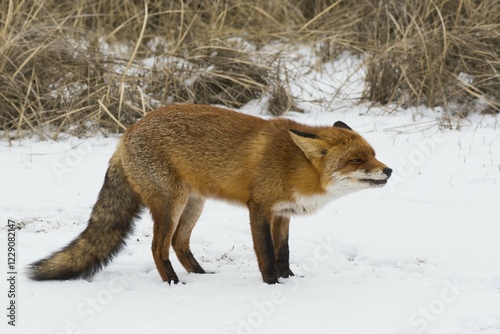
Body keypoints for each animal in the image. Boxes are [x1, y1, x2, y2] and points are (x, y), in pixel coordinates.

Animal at [29, 104, 392, 284]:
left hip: (194, 205)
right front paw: (273, 286)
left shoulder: (283, 213)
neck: (295, 167)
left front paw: (291, 280)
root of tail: (127, 133)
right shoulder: (259, 207)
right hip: (171, 204)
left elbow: (283, 253)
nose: (388, 170)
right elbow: (266, 254)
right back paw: (174, 284)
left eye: (373, 154)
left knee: (179, 244)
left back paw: (202, 277)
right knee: (158, 247)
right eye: (357, 160)